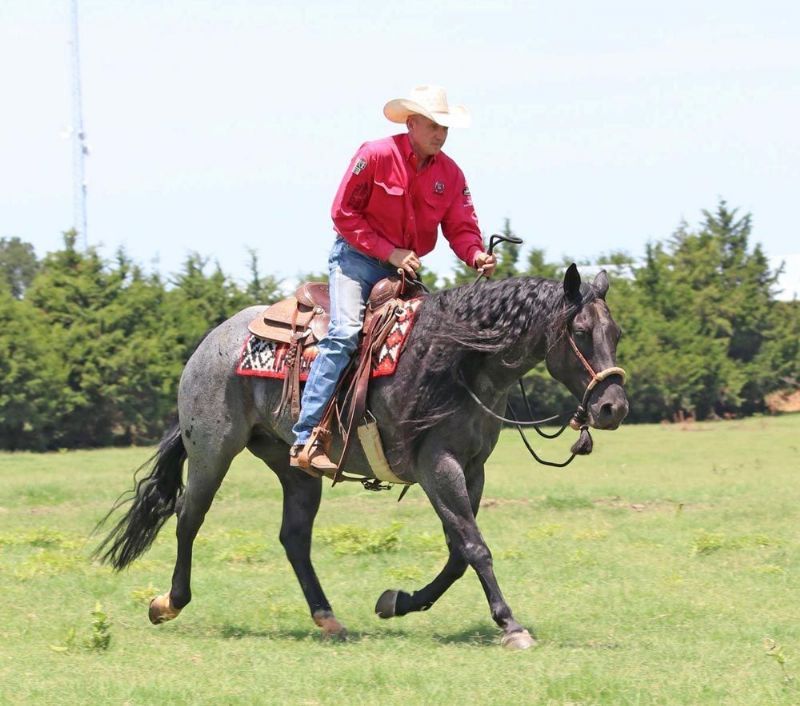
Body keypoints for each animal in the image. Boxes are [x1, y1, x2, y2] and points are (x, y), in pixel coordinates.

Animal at [96, 264, 628, 650]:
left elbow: (459, 552)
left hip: (292, 467)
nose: (613, 407)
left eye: (616, 333)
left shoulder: (472, 469)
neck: (457, 360)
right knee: (188, 517)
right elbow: (474, 546)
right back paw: (168, 602)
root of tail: (210, 343)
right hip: (211, 450)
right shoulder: (437, 467)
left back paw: (327, 618)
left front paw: (397, 601)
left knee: (294, 537)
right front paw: (511, 625)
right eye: (582, 331)